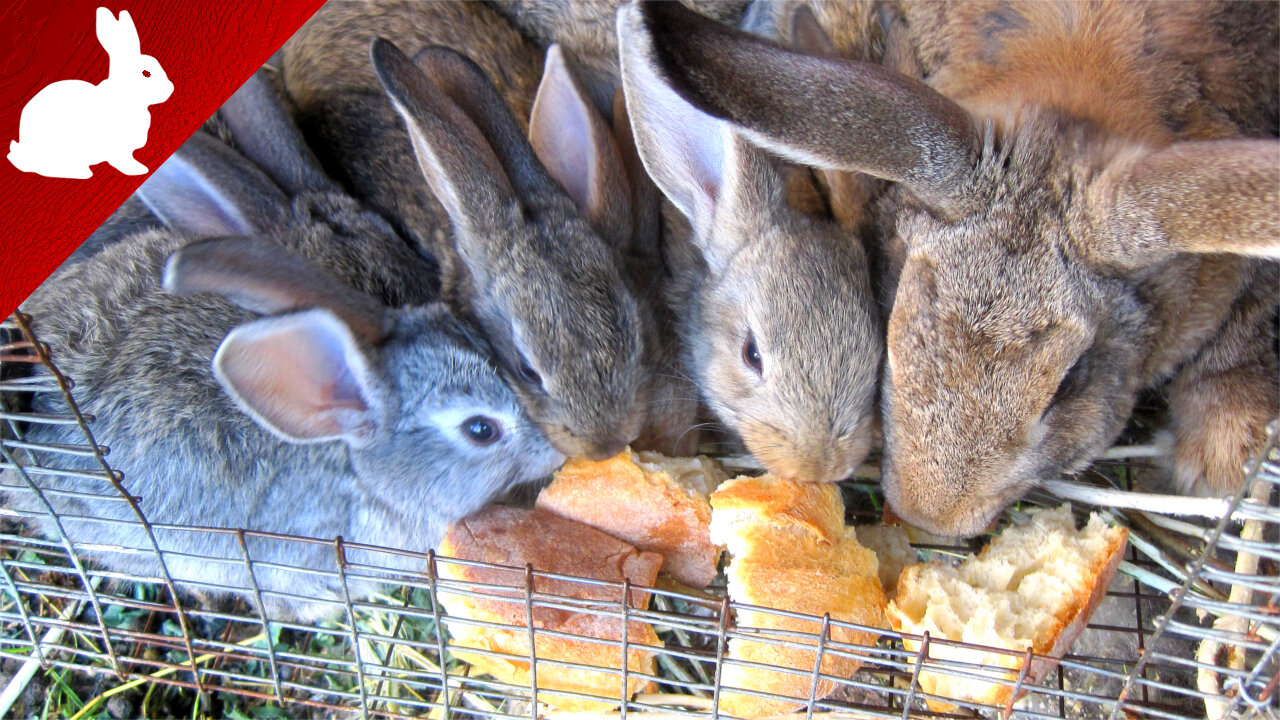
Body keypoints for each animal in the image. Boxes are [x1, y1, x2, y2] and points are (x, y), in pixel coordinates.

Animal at [8, 7, 172, 178]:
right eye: (146, 73)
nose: (170, 88)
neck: (124, 97)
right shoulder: (117, 149)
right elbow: (122, 161)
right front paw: (137, 170)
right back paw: (82, 172)